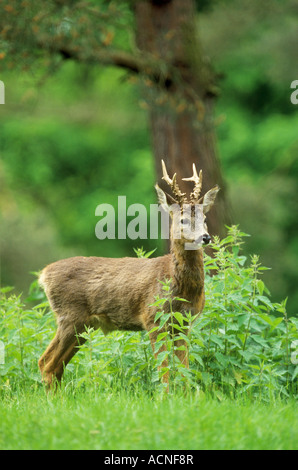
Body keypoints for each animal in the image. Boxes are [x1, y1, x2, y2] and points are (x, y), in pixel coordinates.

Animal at [38, 162, 219, 390]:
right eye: (183, 219)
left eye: (204, 218)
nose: (206, 237)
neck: (178, 285)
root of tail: (43, 274)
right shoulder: (153, 318)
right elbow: (164, 370)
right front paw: (166, 396)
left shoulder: (183, 323)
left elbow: (184, 370)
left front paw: (186, 396)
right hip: (70, 316)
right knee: (46, 363)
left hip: (83, 325)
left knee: (55, 366)